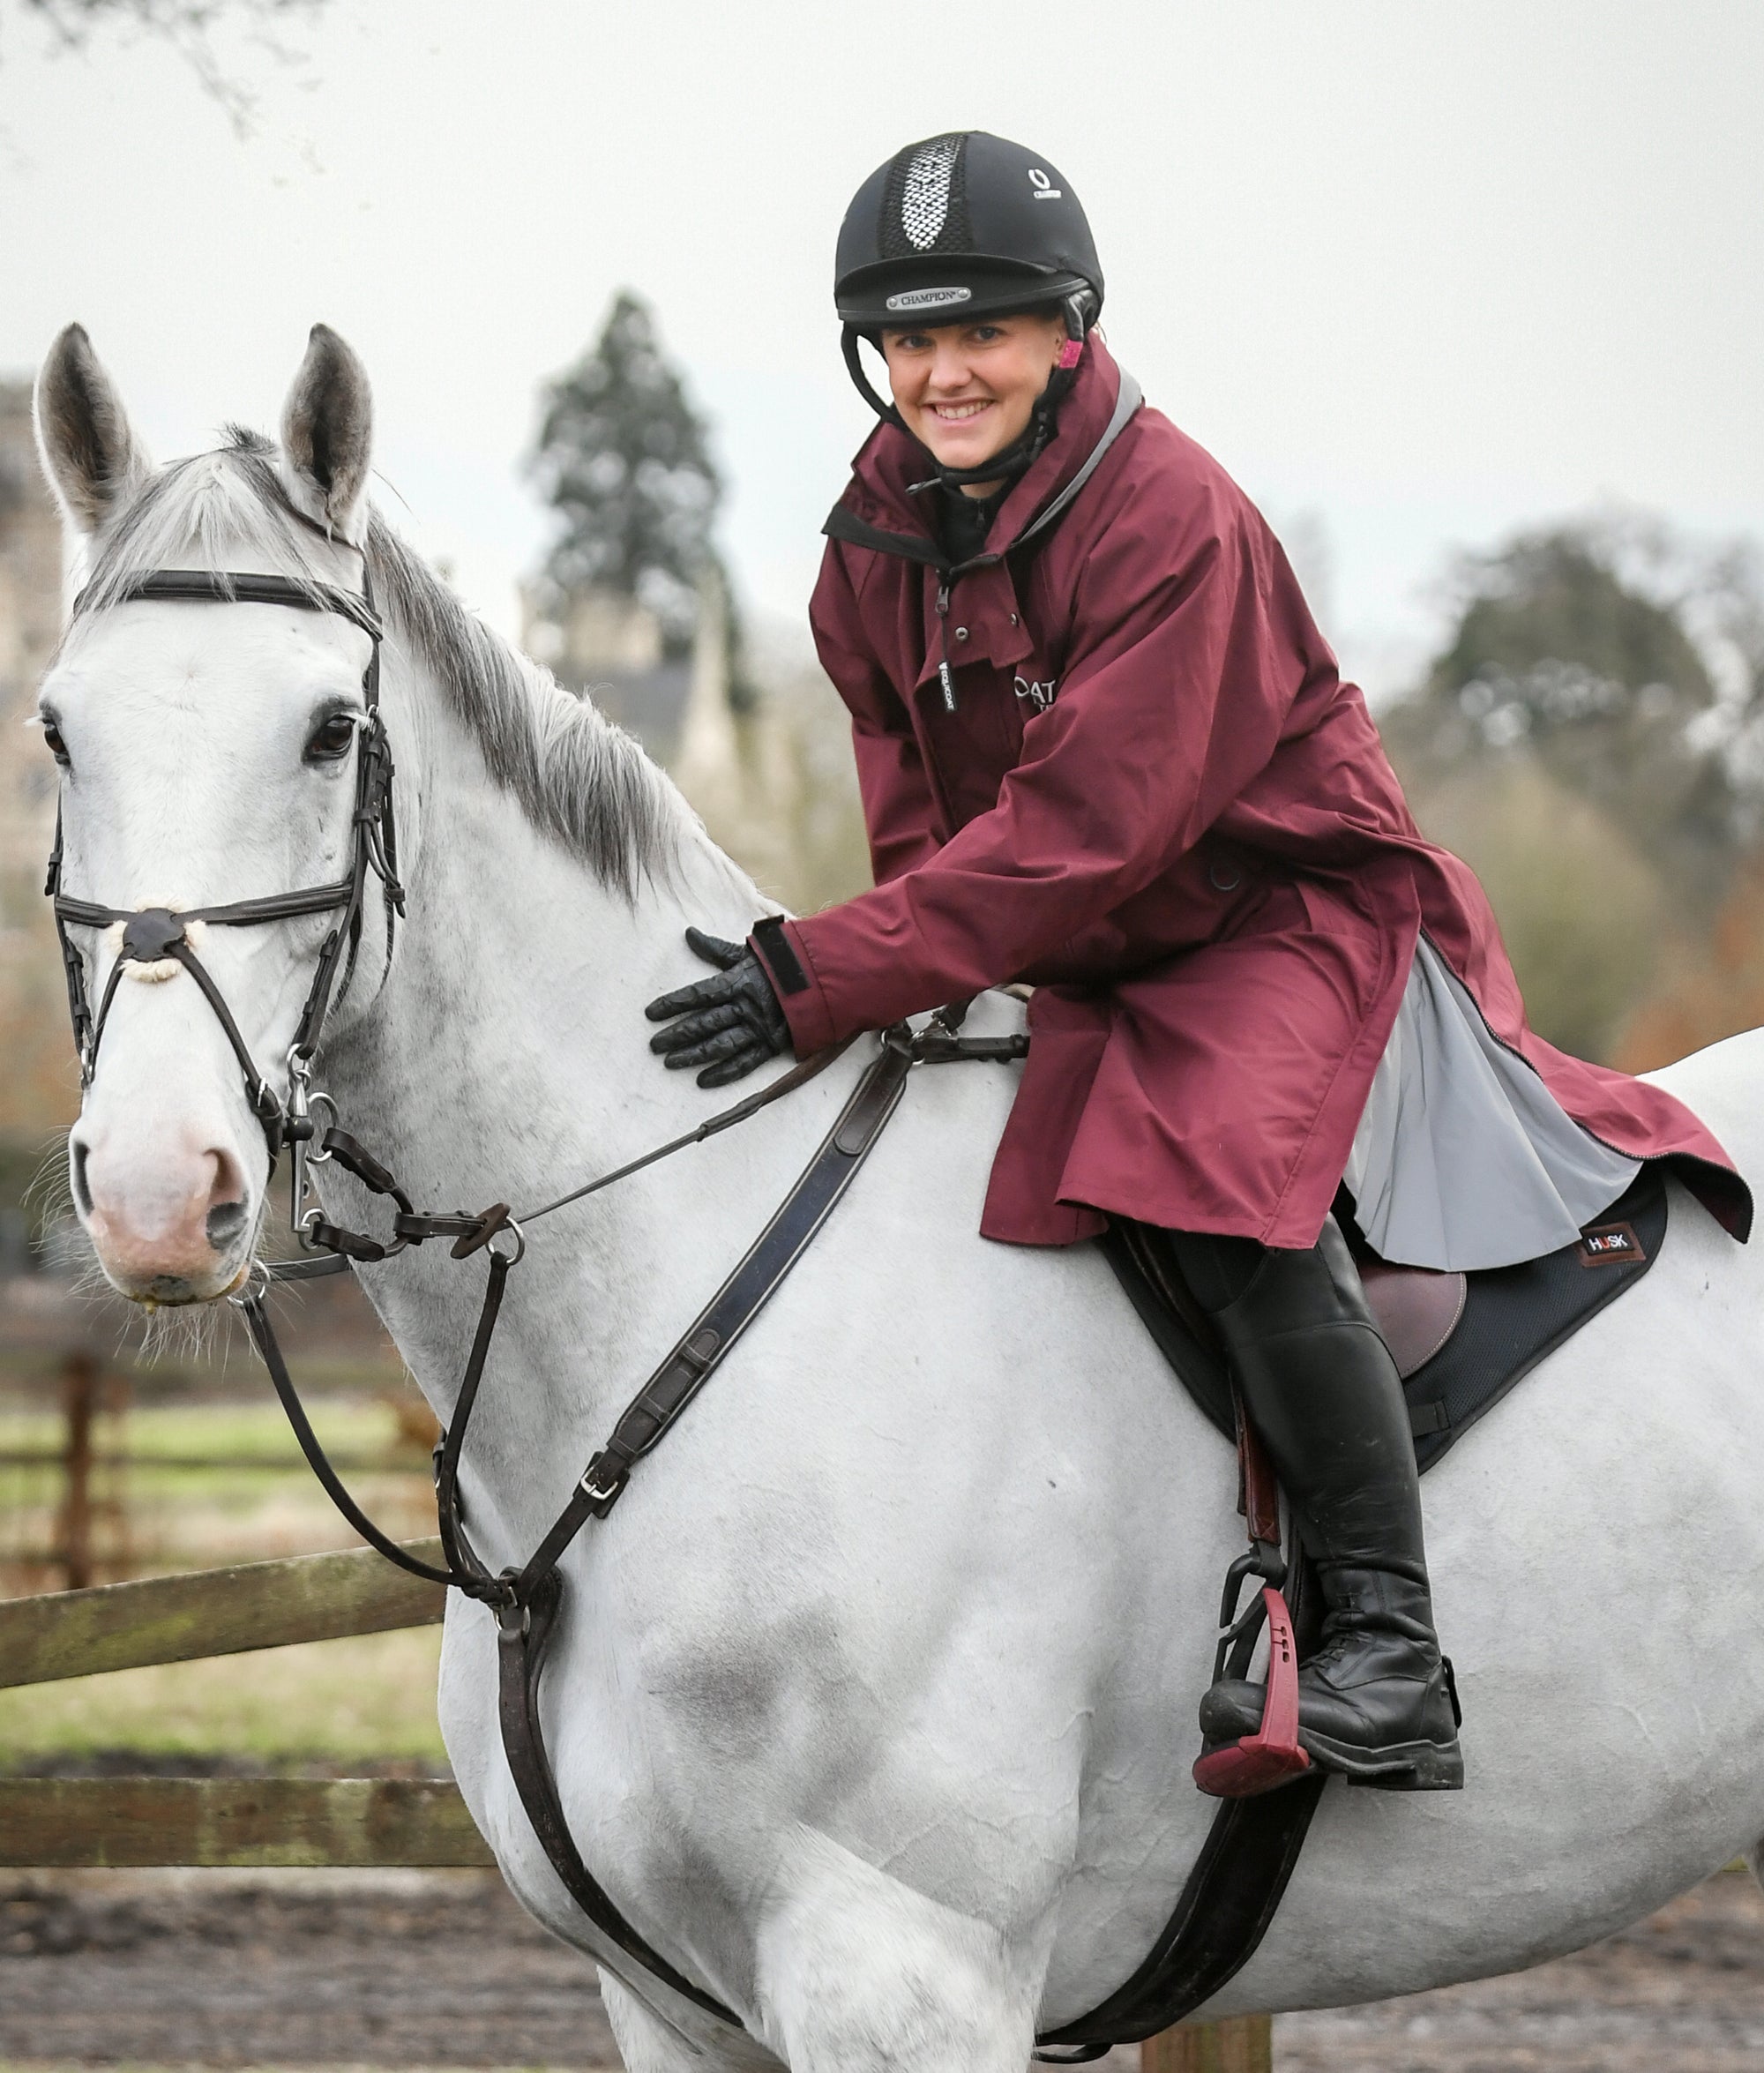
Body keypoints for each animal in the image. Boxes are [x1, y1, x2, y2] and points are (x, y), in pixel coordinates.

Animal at [31, 323, 1764, 2073]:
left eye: (330, 729)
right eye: (56, 732)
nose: (161, 1191)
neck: (677, 1304)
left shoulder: (906, 1973)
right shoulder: (676, 2012)